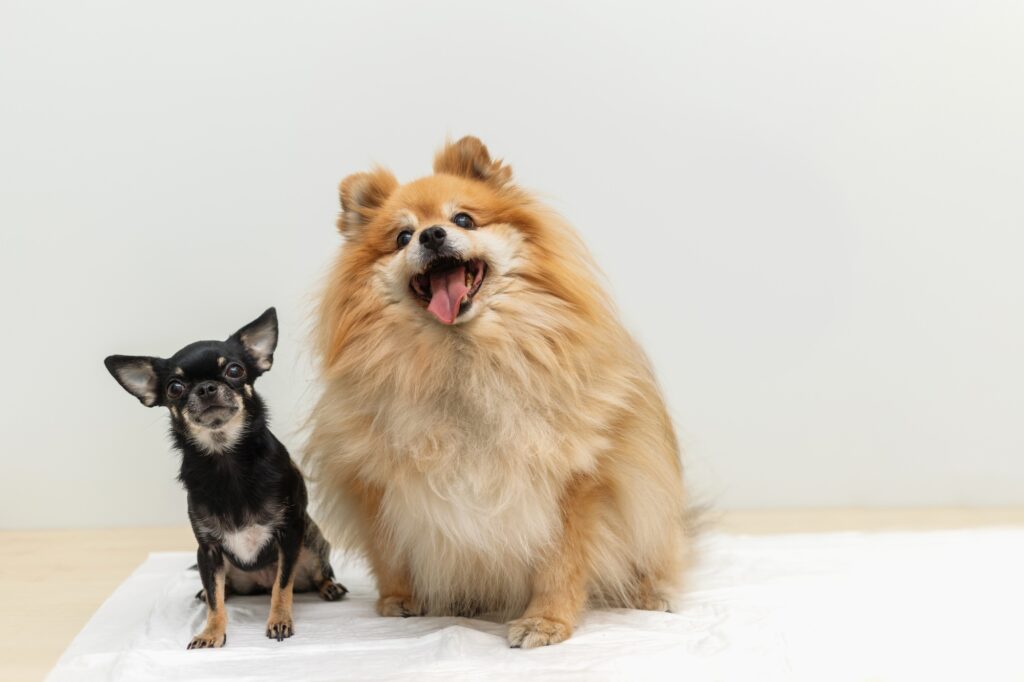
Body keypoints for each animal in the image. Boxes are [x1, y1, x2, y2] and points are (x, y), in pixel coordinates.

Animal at [105, 305, 348, 647]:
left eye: (235, 370)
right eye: (174, 388)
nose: (206, 387)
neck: (225, 459)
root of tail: (258, 582)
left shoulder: (289, 535)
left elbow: (282, 587)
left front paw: (279, 620)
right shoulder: (208, 550)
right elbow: (214, 598)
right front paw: (211, 631)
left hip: (311, 543)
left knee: (313, 574)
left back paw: (329, 586)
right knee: (219, 588)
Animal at [303, 135, 688, 647]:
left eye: (463, 219)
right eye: (403, 236)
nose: (432, 235)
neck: (461, 360)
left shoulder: (574, 483)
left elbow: (561, 563)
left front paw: (546, 621)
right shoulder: (377, 482)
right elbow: (390, 551)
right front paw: (400, 599)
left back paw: (651, 593)